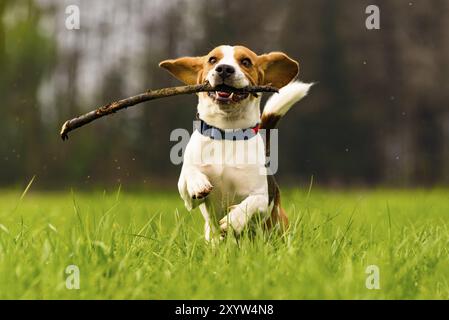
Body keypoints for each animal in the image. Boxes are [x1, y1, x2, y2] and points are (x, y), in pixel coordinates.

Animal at [159, 45, 310, 242]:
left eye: (246, 62)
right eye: (212, 60)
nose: (224, 69)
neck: (226, 133)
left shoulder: (262, 198)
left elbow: (251, 202)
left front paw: (233, 221)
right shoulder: (188, 199)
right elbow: (189, 174)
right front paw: (198, 183)